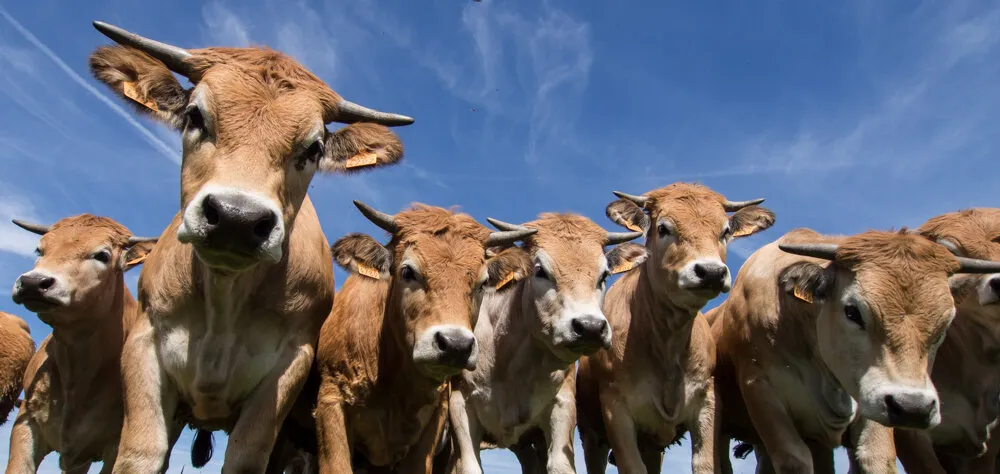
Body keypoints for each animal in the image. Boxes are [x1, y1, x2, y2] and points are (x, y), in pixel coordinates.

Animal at [86, 21, 413, 472]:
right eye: (195, 116)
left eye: (313, 149)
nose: (236, 219)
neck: (225, 300)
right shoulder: (144, 345)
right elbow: (140, 453)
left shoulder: (290, 366)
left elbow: (246, 456)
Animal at [447, 213, 646, 474]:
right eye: (540, 270)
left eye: (604, 275)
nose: (590, 327)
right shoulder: (460, 405)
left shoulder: (563, 404)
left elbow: (560, 465)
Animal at [575, 183, 776, 474]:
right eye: (663, 228)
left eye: (725, 231)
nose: (711, 272)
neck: (666, 342)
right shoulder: (616, 410)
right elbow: (632, 467)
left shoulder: (707, 401)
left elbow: (705, 464)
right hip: (592, 436)